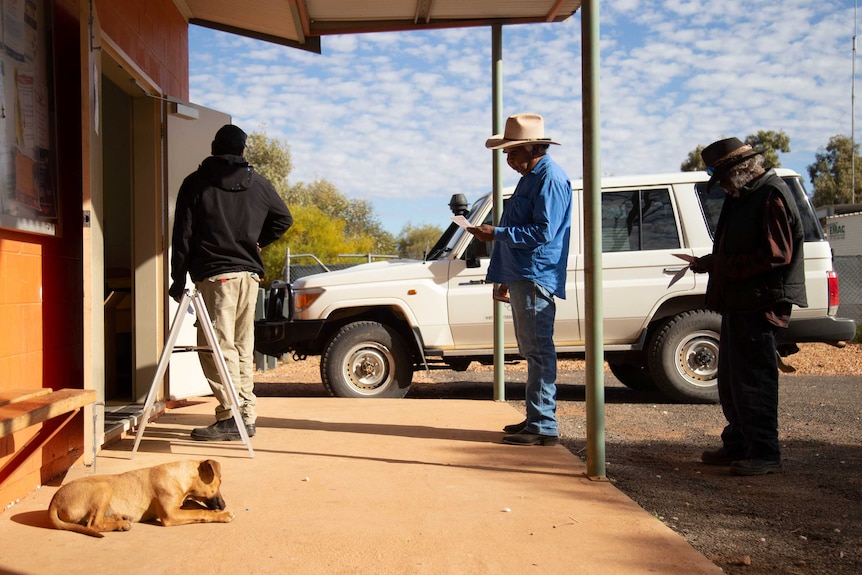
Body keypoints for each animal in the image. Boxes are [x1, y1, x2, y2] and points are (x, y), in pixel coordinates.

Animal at [47, 460, 235, 540]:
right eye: (219, 482)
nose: (224, 504)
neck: (178, 476)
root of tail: (54, 501)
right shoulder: (170, 515)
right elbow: (200, 511)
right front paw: (223, 515)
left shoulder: (181, 502)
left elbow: (195, 504)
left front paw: (217, 511)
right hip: (103, 487)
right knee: (93, 524)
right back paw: (121, 524)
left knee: (93, 520)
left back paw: (119, 517)